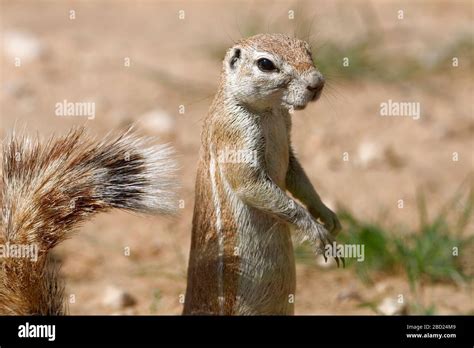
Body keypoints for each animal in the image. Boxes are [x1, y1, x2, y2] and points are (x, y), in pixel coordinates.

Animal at [183, 33, 342, 316]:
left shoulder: (288, 138)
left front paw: (327, 215)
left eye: (308, 50)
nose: (317, 83)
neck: (270, 111)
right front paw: (317, 232)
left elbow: (295, 174)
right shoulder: (235, 135)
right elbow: (248, 182)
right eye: (265, 64)